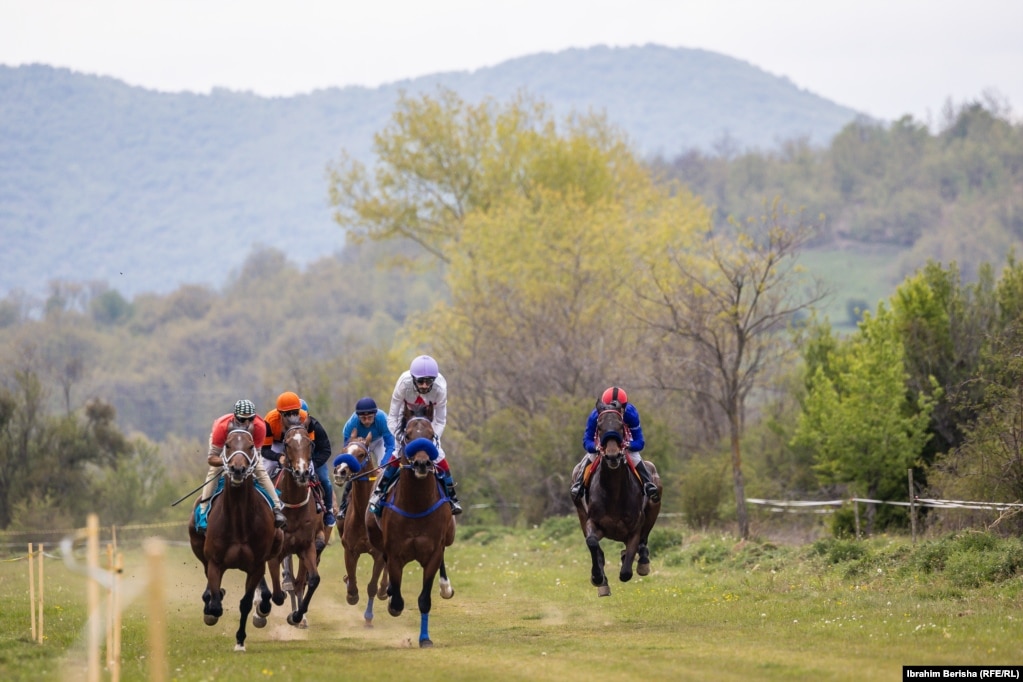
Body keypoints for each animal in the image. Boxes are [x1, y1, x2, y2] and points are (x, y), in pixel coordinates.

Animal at [188, 427, 282, 650]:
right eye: (228, 445)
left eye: (250, 446)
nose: (237, 469)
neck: (239, 522)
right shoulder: (215, 562)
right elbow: (215, 605)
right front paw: (212, 606)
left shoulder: (256, 565)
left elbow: (245, 603)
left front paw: (240, 640)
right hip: (199, 549)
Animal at [261, 427, 325, 629]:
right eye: (287, 444)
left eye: (309, 443)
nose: (302, 472)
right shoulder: (275, 553)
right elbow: (277, 595)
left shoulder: (307, 546)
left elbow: (313, 580)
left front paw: (297, 616)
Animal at [331, 437, 386, 625]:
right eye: (344, 450)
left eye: (361, 454)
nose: (340, 471)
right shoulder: (350, 550)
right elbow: (352, 577)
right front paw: (351, 594)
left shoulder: (379, 554)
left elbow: (372, 586)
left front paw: (368, 617)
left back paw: (384, 590)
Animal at [364, 408, 452, 650]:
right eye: (408, 435)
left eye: (431, 435)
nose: (422, 463)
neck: (416, 505)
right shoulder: (395, 553)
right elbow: (396, 602)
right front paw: (390, 596)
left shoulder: (433, 553)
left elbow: (424, 600)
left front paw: (425, 638)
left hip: (449, 536)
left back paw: (445, 587)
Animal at [568, 404, 662, 597]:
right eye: (599, 426)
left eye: (620, 425)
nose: (612, 456)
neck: (613, 493)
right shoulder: (593, 522)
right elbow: (592, 543)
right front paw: (598, 578)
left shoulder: (634, 529)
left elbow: (626, 571)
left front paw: (630, 559)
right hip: (580, 512)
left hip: (654, 504)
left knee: (644, 540)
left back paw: (642, 562)